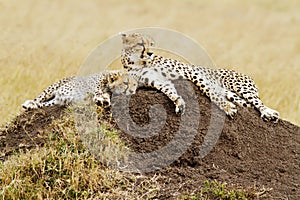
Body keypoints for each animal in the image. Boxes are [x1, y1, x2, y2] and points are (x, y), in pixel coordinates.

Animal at [119, 32, 278, 122]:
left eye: (151, 44)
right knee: (248, 105)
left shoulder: (192, 72)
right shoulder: (158, 81)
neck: (136, 63)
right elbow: (169, 91)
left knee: (258, 102)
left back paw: (269, 113)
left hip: (240, 87)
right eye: (140, 44)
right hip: (234, 96)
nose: (150, 53)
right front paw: (179, 103)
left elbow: (207, 89)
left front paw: (226, 107)